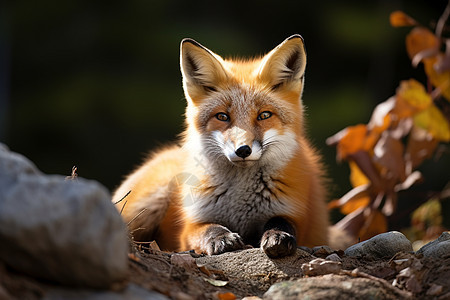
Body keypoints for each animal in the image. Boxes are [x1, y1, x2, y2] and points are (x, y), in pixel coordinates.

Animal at [112, 34, 330, 258]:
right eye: (222, 117)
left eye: (264, 115)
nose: (243, 150)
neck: (239, 199)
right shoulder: (189, 228)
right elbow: (208, 229)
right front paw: (221, 238)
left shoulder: (296, 215)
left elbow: (282, 222)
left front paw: (278, 235)